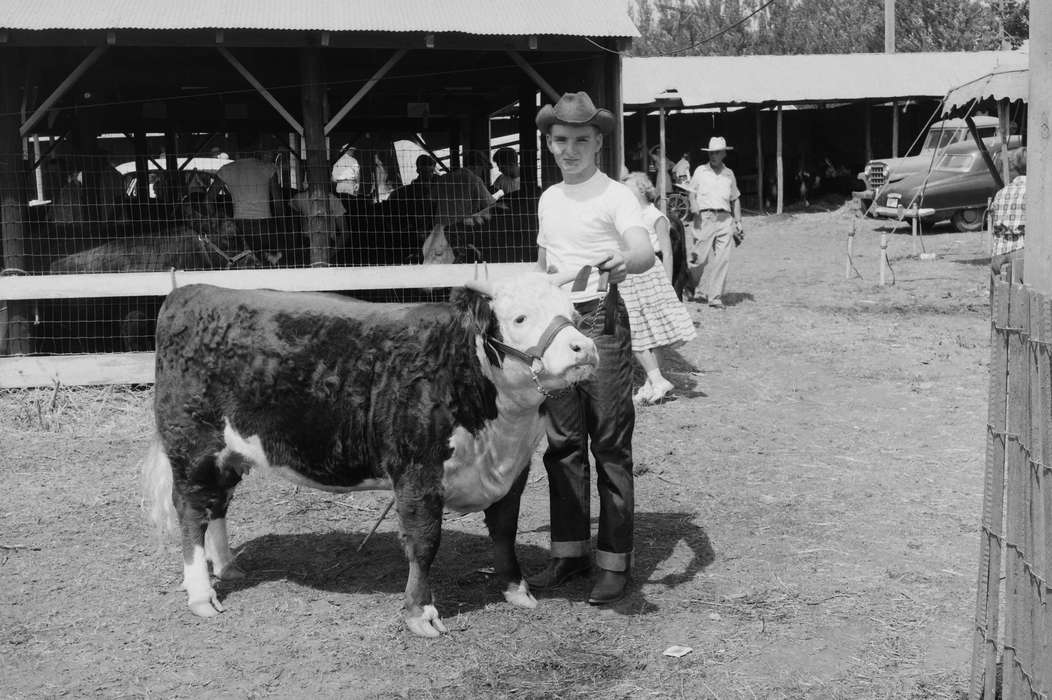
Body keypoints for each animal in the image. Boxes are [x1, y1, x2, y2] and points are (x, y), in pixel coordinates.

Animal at [141, 273, 598, 637]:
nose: (584, 348)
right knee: (191, 511)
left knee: (216, 504)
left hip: (228, 453)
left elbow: (504, 530)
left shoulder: (513, 468)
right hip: (192, 445)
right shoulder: (417, 471)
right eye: (520, 318)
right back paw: (201, 593)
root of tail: (192, 292)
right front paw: (420, 614)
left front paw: (516, 590)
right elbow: (424, 542)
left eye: (573, 316)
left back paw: (226, 566)